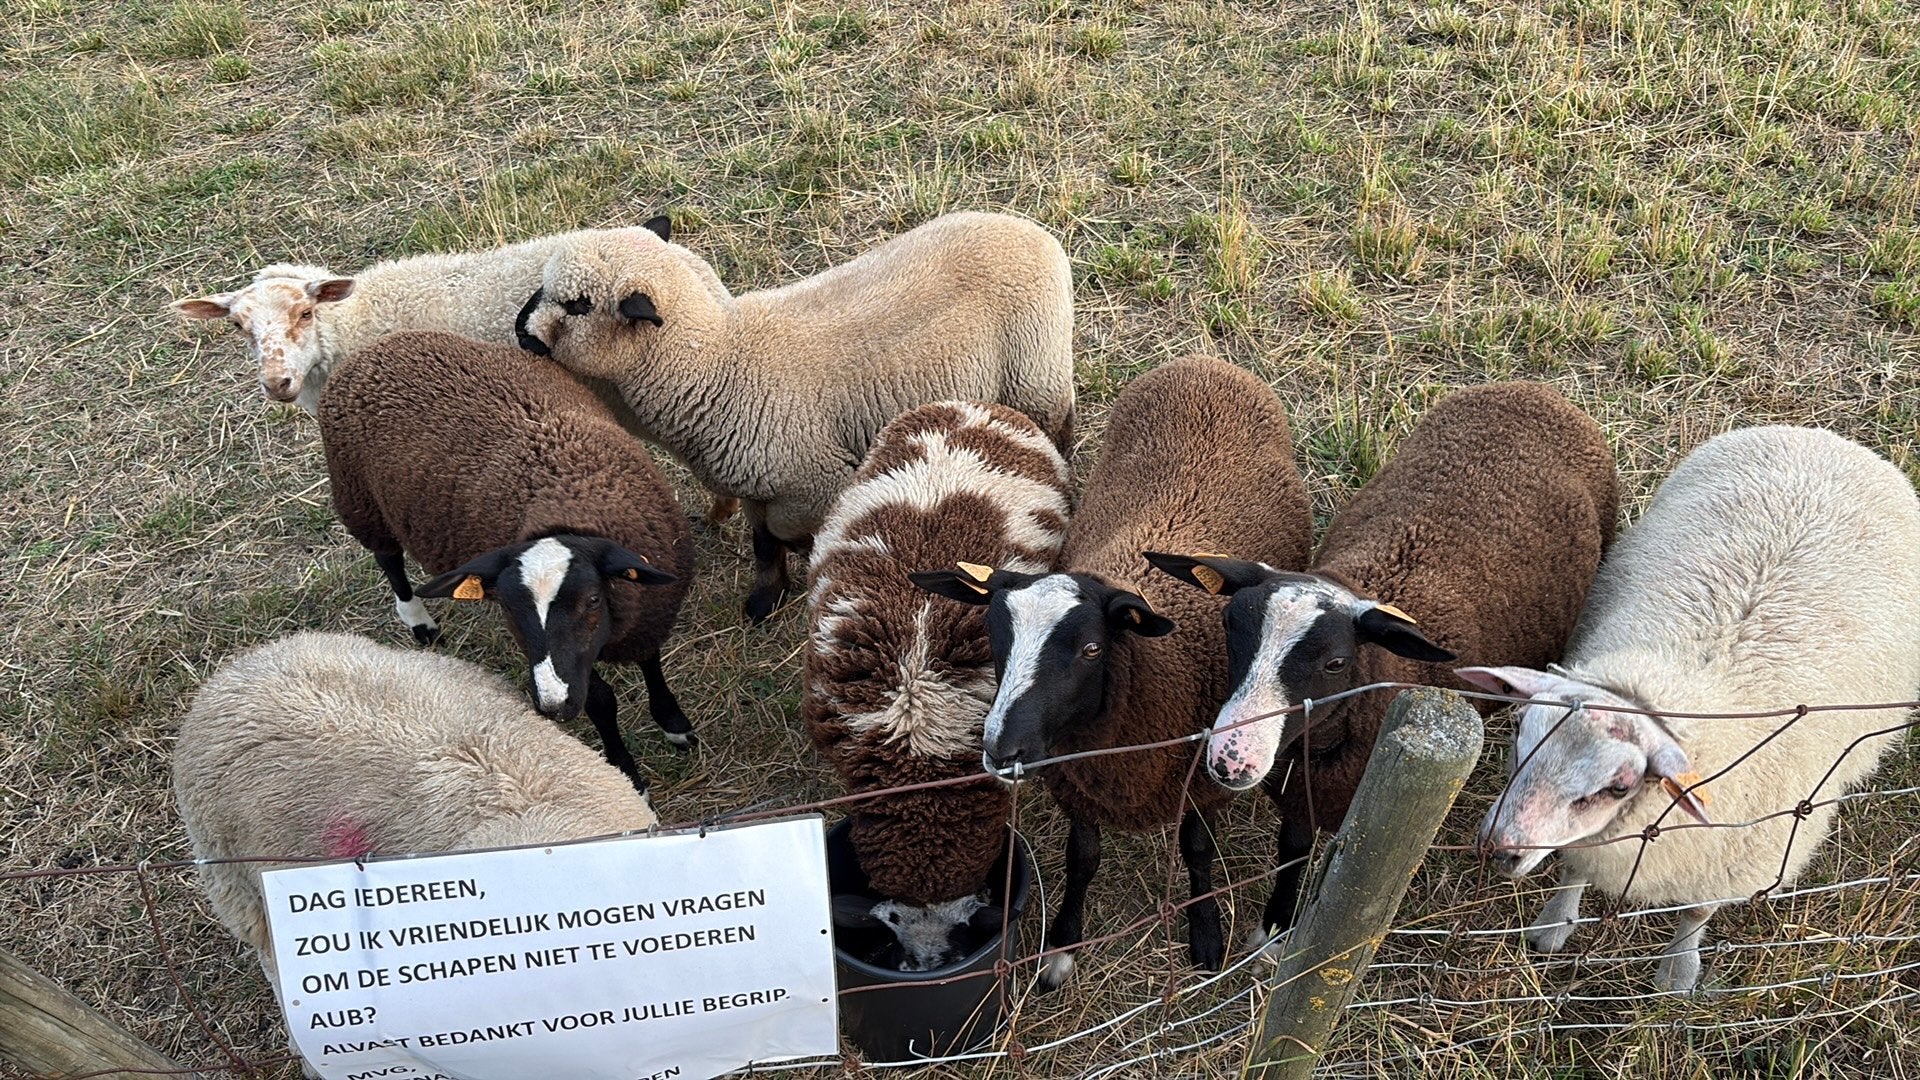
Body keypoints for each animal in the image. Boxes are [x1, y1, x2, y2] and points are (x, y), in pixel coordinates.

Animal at [318, 330, 694, 786]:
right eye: (508, 607)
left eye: (592, 600)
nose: (552, 707)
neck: (566, 500)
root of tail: (373, 348)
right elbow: (602, 702)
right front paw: (628, 775)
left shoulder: (646, 613)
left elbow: (650, 661)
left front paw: (674, 724)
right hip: (361, 497)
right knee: (388, 559)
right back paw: (418, 620)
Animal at [515, 210, 1076, 624]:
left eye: (579, 304)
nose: (521, 331)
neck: (720, 361)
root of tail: (1030, 229)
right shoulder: (754, 479)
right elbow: (763, 544)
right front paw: (765, 599)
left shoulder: (814, 479)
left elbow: (784, 531)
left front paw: (806, 551)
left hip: (1035, 369)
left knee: (1058, 427)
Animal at [912, 355, 1312, 988]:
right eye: (996, 638)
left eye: (1091, 649)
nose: (1001, 751)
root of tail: (1202, 360)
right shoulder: (1075, 783)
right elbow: (1082, 859)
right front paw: (1061, 946)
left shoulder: (1204, 778)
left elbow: (1197, 850)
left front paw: (1205, 934)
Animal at [1151, 380, 1617, 945]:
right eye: (1229, 627)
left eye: (1334, 663)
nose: (1229, 761)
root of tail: (1536, 390)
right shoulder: (1304, 791)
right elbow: (1292, 853)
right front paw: (1275, 927)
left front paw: (1281, 930)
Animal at [1465, 425, 1920, 992]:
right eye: (1519, 732)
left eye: (1619, 788)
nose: (1498, 849)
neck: (1667, 692)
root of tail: (1827, 440)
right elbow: (1576, 868)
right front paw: (1555, 924)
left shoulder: (1735, 855)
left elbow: (1696, 913)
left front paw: (1677, 972)